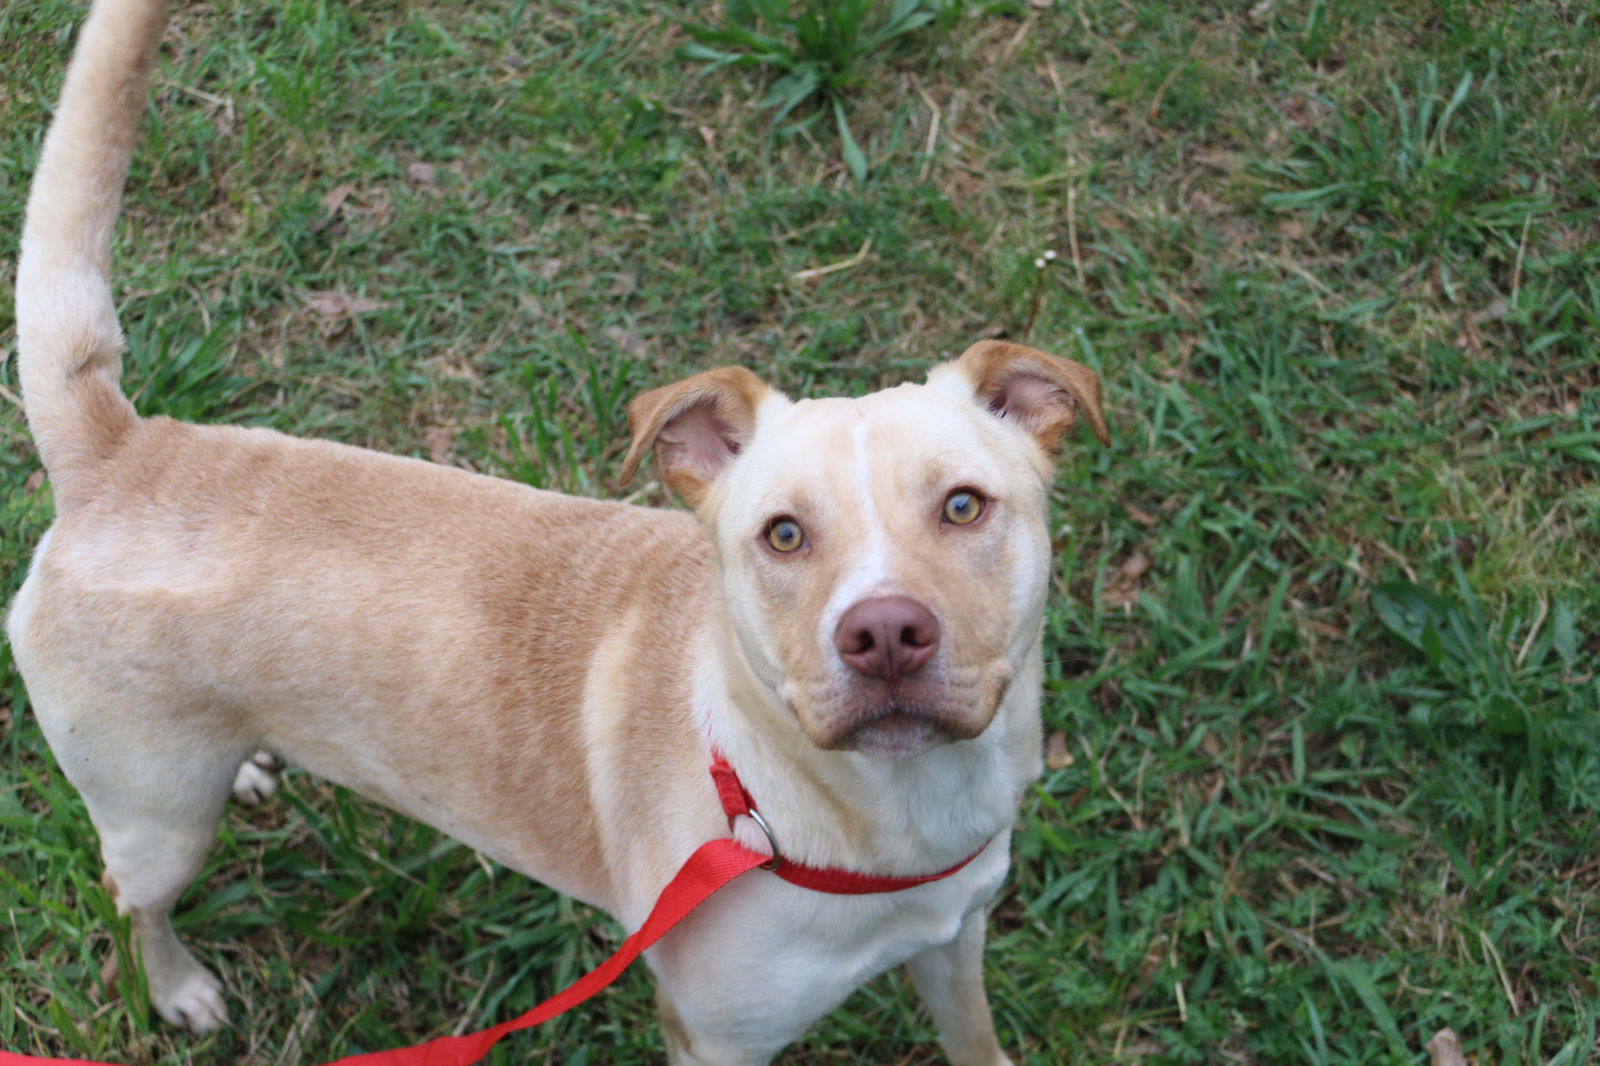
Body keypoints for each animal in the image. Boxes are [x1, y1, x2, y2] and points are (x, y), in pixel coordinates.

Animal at [9, 2, 1113, 1062]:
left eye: (963, 505)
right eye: (784, 535)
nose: (884, 635)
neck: (879, 823)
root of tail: (122, 448)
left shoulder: (954, 941)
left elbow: (975, 1039)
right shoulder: (715, 1039)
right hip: (156, 822)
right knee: (129, 898)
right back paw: (176, 987)